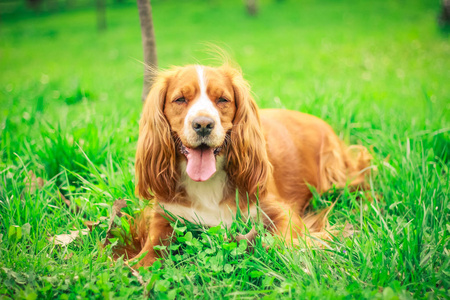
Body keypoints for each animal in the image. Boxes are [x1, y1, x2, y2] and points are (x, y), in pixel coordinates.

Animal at [132, 64, 370, 266]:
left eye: (223, 99)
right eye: (180, 99)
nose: (203, 124)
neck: (208, 182)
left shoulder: (279, 211)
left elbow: (281, 243)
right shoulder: (165, 216)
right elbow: (147, 253)